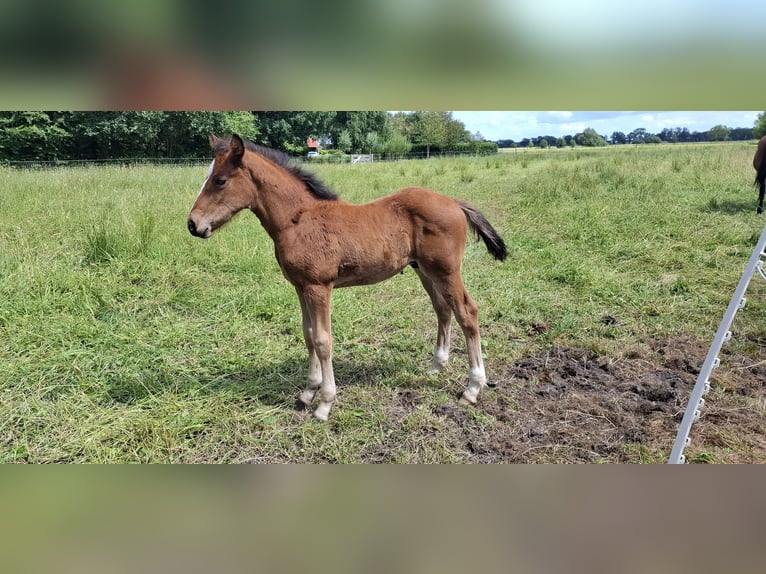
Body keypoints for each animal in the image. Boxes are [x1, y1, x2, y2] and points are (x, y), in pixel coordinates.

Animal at [188, 135, 510, 424]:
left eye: (220, 180)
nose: (193, 225)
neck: (298, 219)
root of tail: (453, 202)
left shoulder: (319, 287)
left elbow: (322, 340)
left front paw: (324, 404)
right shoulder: (300, 286)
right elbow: (307, 334)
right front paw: (307, 394)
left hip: (446, 271)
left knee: (467, 312)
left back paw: (472, 388)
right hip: (425, 270)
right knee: (443, 309)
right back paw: (436, 366)